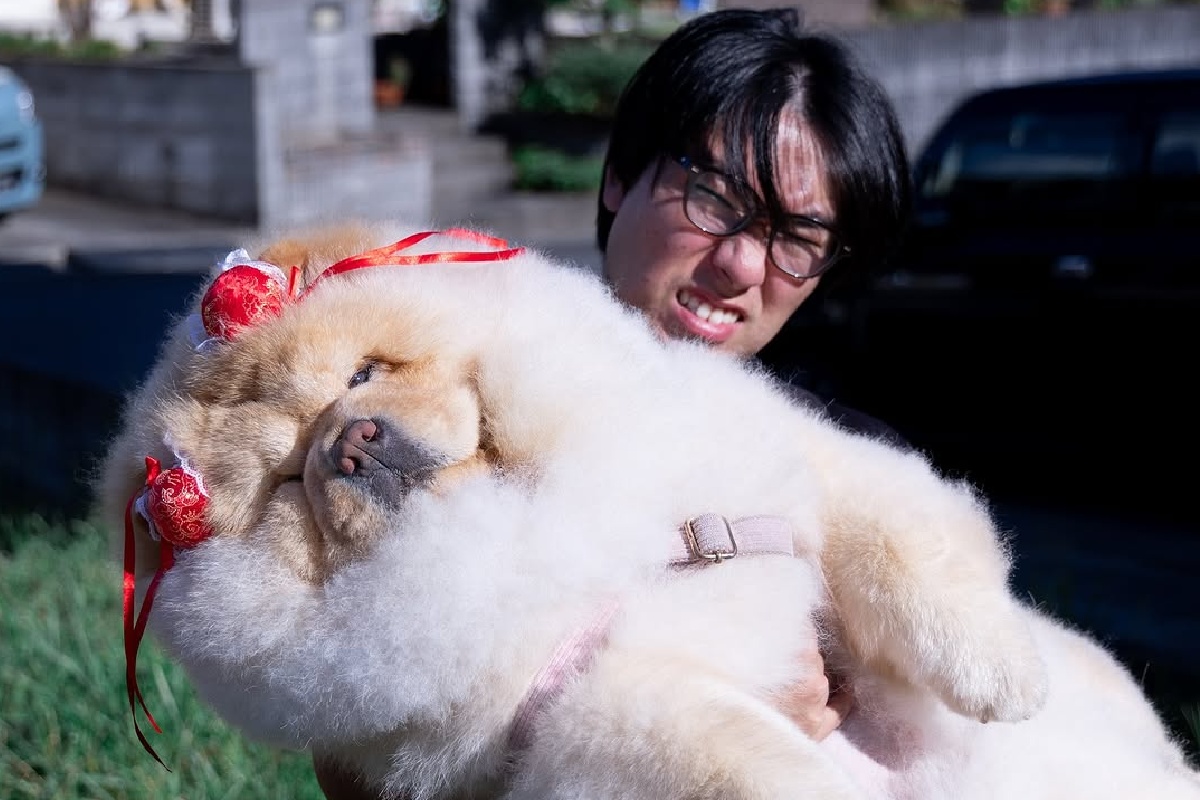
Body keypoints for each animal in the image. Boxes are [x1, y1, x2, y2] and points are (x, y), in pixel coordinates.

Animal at [98, 222, 1199, 799]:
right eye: (285, 479)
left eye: (366, 373)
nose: (348, 442)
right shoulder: (596, 706)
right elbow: (747, 761)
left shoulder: (798, 475)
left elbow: (908, 549)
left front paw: (1003, 674)